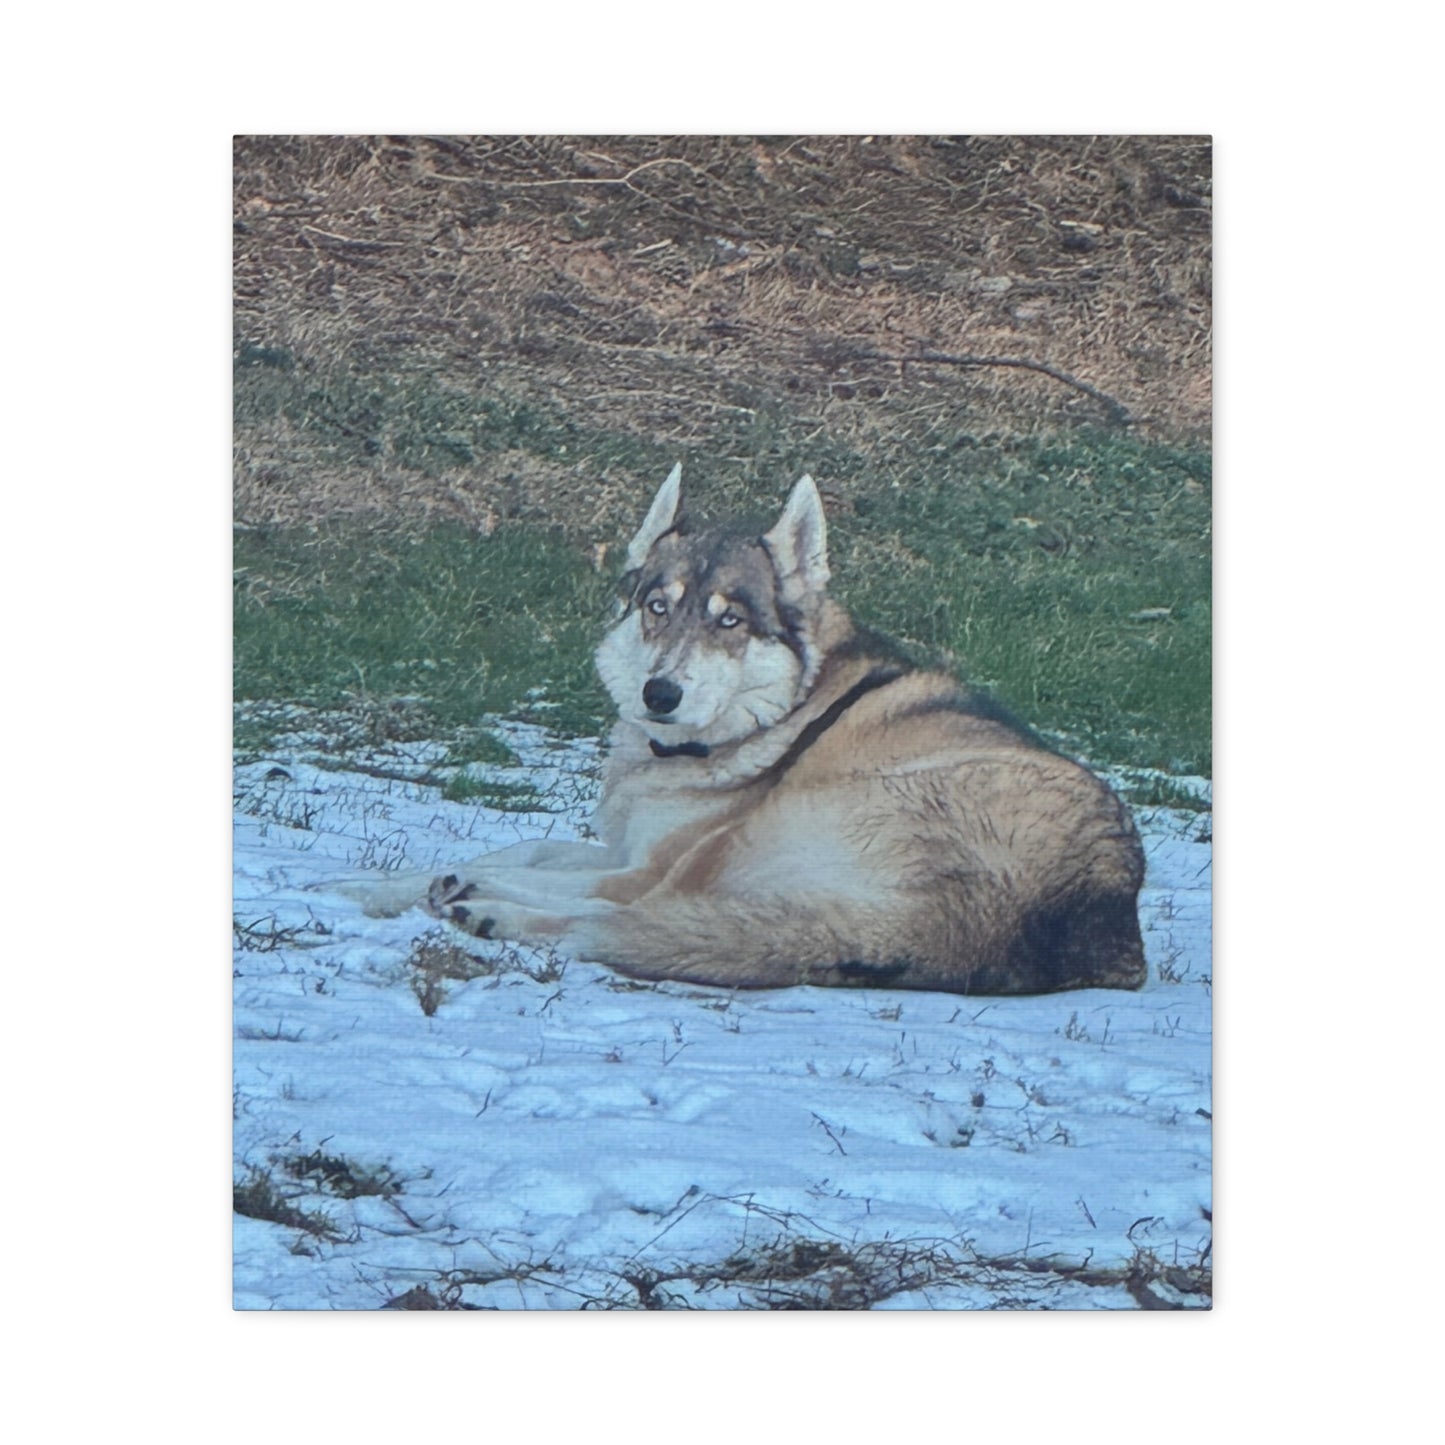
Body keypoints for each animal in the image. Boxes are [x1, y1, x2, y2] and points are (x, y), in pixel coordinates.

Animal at [335, 466, 1147, 995]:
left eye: (730, 620)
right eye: (657, 607)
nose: (659, 693)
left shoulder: (649, 862)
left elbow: (530, 867)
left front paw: (443, 882)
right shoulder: (629, 844)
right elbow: (522, 845)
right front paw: (353, 884)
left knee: (622, 913)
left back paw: (487, 908)